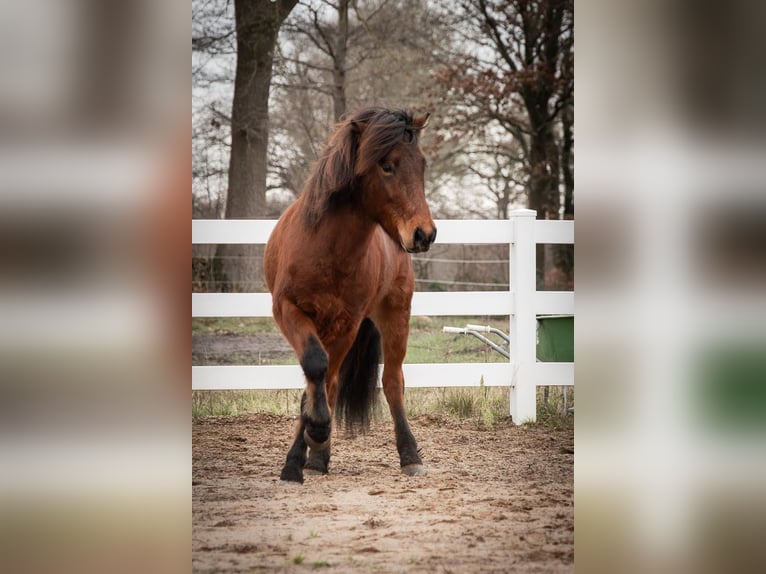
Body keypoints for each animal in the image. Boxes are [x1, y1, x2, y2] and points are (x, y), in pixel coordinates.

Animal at [264, 107, 437, 484]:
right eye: (386, 165)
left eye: (422, 164)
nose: (424, 234)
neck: (327, 248)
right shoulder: (288, 310)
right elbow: (315, 368)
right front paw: (302, 453)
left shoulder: (348, 323)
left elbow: (326, 378)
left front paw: (316, 434)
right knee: (321, 379)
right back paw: (313, 456)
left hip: (395, 317)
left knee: (391, 382)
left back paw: (409, 455)